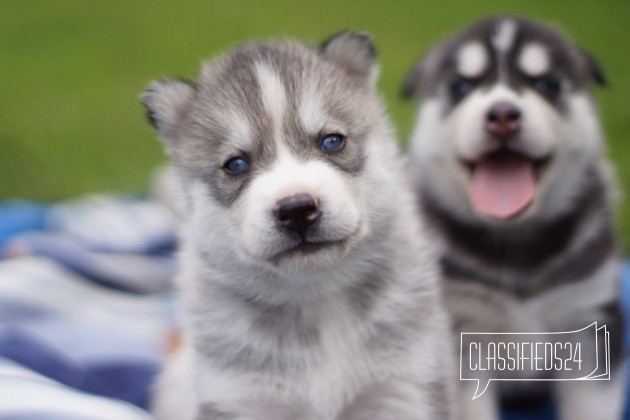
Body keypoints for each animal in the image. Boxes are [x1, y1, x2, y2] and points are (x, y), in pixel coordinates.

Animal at [143, 32, 454, 420]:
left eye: (332, 141)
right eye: (236, 164)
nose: (296, 208)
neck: (315, 295)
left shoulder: (402, 387)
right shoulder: (240, 398)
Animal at [404, 14, 628, 420]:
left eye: (547, 84)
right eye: (461, 86)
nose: (503, 116)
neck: (516, 242)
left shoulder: (589, 322)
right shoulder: (461, 330)